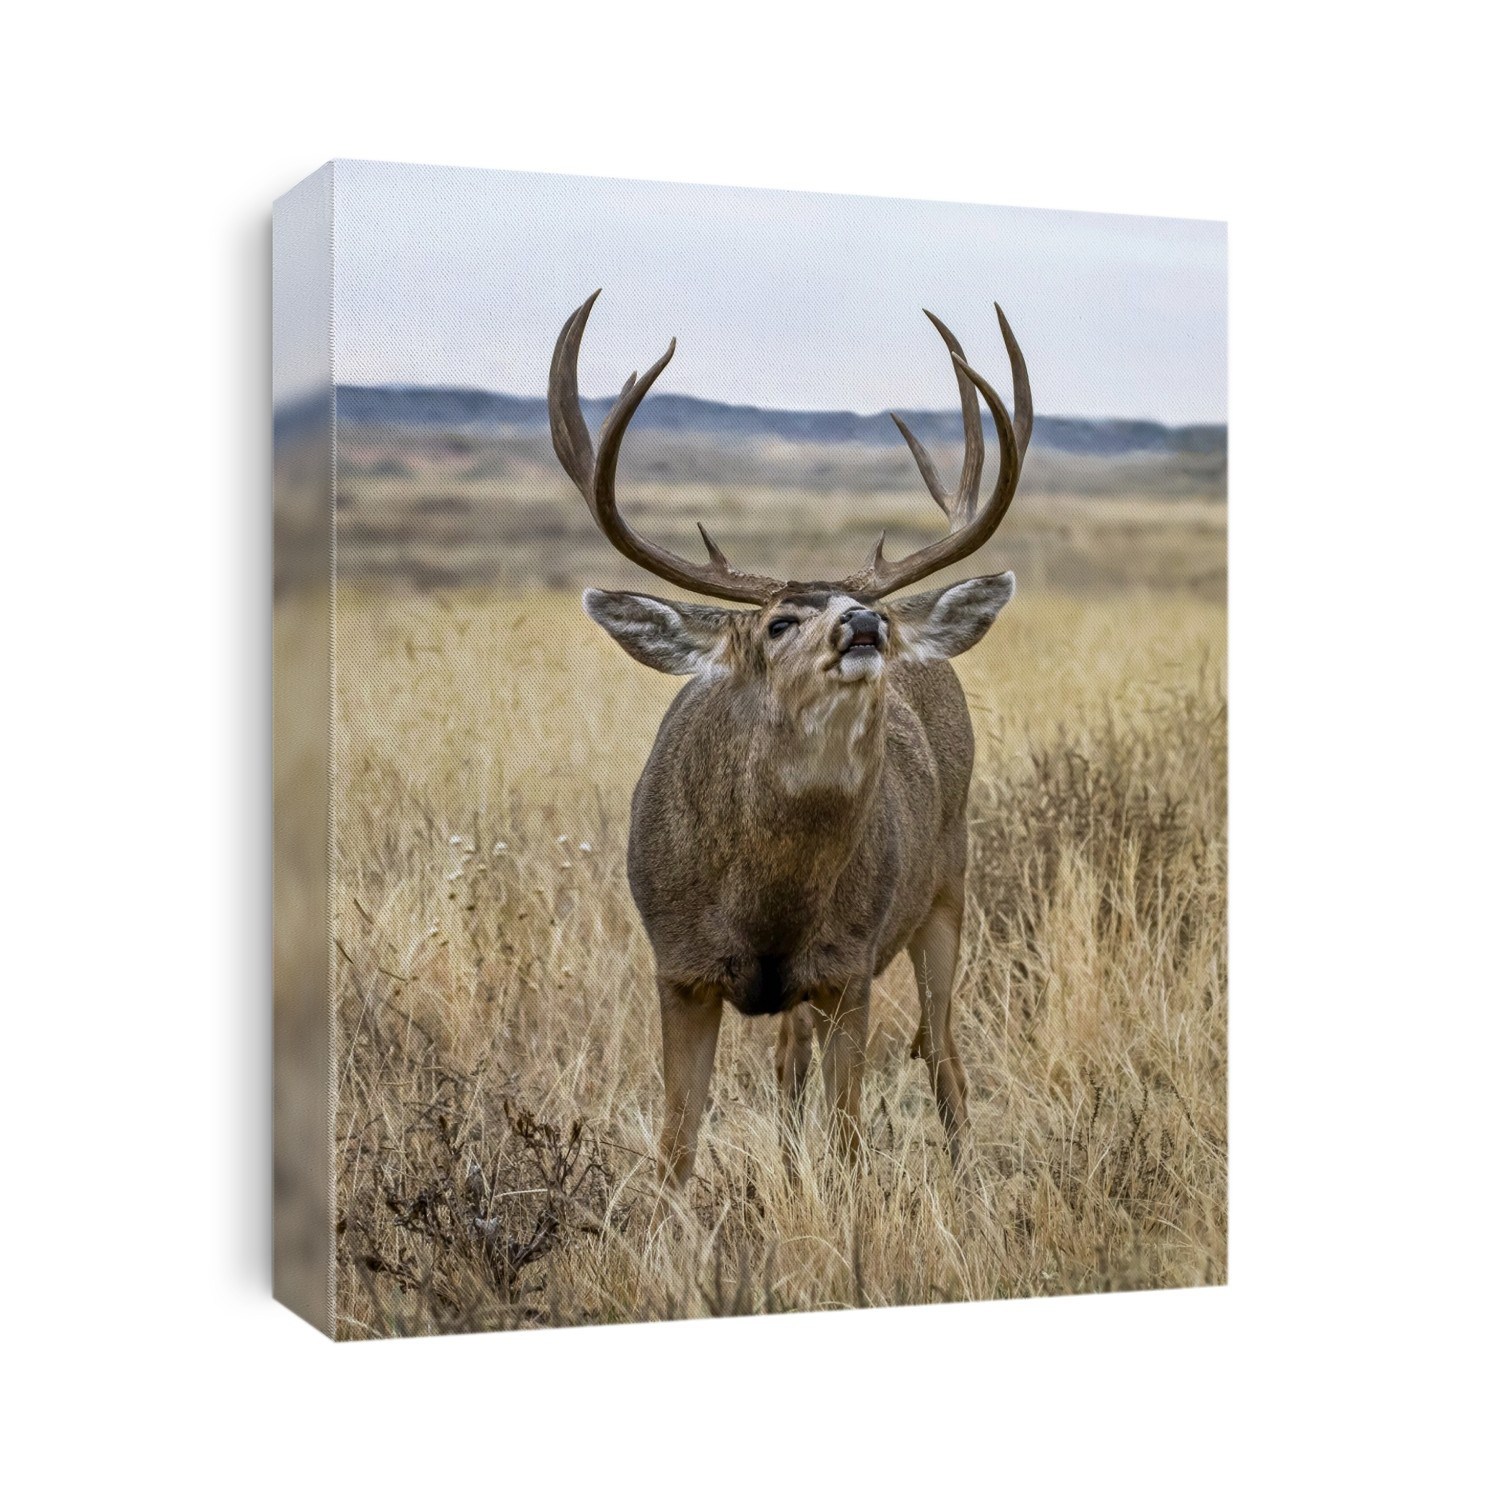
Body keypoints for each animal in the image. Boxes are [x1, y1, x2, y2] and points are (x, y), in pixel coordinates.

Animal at [548, 290, 1031, 1188]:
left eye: (866, 615)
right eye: (777, 623)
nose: (866, 621)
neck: (768, 903)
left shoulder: (848, 967)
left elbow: (846, 1142)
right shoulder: (679, 966)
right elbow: (676, 1146)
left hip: (950, 881)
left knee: (943, 1052)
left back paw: (963, 1175)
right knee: (789, 1061)